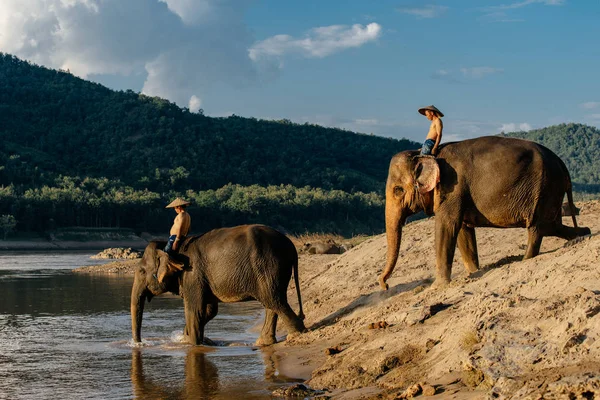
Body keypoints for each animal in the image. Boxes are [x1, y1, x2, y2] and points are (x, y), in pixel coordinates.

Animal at [133, 223, 308, 346]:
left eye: (141, 271)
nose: (139, 343)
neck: (173, 249)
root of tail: (292, 246)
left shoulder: (192, 274)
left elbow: (195, 310)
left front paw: (193, 344)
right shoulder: (202, 279)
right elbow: (210, 310)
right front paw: (188, 337)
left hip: (268, 267)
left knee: (274, 301)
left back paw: (297, 335)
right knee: (272, 303)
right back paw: (264, 343)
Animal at [380, 136, 592, 290]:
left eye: (398, 190)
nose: (385, 286)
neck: (425, 154)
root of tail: (562, 164)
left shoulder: (452, 188)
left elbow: (447, 226)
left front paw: (437, 287)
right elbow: (463, 231)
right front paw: (473, 273)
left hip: (545, 188)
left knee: (536, 228)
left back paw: (524, 260)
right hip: (551, 191)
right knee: (552, 226)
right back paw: (584, 234)